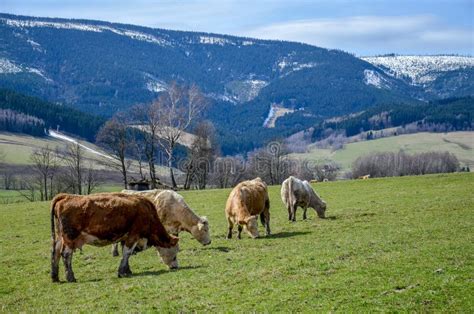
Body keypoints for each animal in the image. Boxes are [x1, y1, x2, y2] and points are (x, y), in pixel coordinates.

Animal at [50, 191, 180, 282]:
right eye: (175, 254)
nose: (175, 267)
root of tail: (66, 196)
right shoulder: (133, 235)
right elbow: (127, 253)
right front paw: (122, 272)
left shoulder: (126, 237)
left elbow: (125, 254)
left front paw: (128, 270)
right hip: (70, 237)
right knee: (66, 254)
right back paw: (70, 277)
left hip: (60, 237)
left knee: (55, 252)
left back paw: (55, 277)